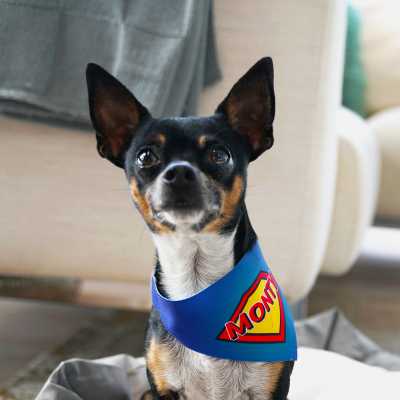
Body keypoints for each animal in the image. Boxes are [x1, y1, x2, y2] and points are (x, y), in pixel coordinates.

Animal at [86, 58, 294, 400]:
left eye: (219, 155)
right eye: (146, 156)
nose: (180, 172)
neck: (198, 287)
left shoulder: (270, 390)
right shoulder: (162, 388)